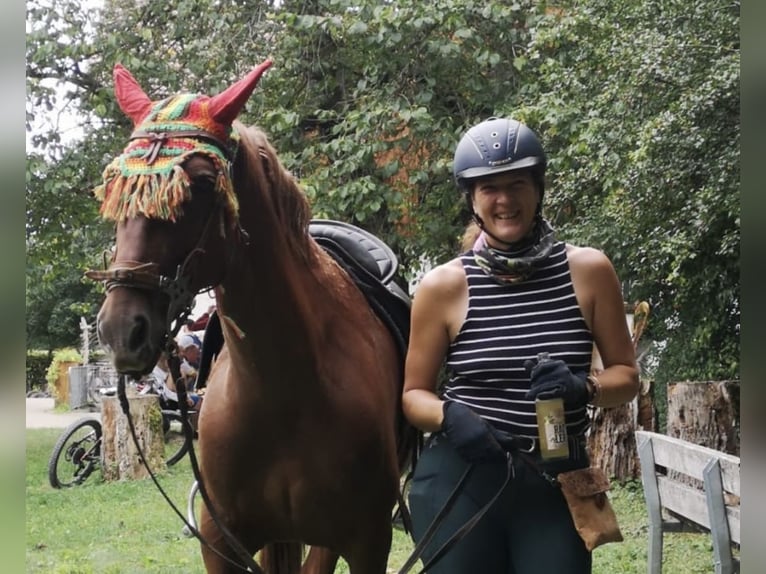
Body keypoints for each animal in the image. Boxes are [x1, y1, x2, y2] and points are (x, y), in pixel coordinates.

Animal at [90, 60, 420, 572]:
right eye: (114, 188)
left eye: (204, 184)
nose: (122, 330)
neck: (286, 391)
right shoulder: (219, 540)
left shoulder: (367, 541)